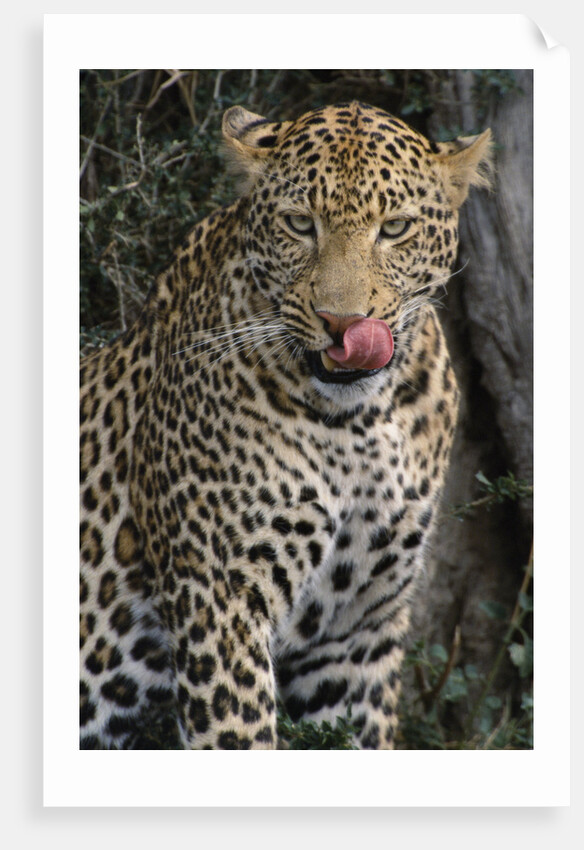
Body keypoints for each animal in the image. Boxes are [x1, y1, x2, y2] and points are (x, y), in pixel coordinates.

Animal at [80, 100, 492, 749]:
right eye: (300, 224)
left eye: (394, 228)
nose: (342, 323)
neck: (360, 423)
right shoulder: (219, 602)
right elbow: (239, 732)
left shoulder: (356, 633)